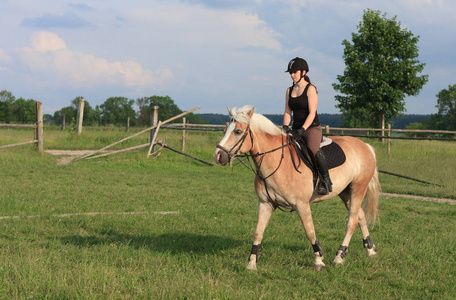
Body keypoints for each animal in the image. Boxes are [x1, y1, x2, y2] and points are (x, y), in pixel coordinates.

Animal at [214, 106, 382, 272]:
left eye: (238, 131)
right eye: (225, 130)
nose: (218, 156)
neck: (277, 162)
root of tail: (365, 145)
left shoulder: (302, 205)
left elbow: (310, 231)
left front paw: (318, 260)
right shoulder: (265, 204)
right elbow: (258, 233)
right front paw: (252, 263)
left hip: (358, 188)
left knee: (352, 221)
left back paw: (340, 256)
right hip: (345, 192)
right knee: (360, 216)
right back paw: (370, 250)